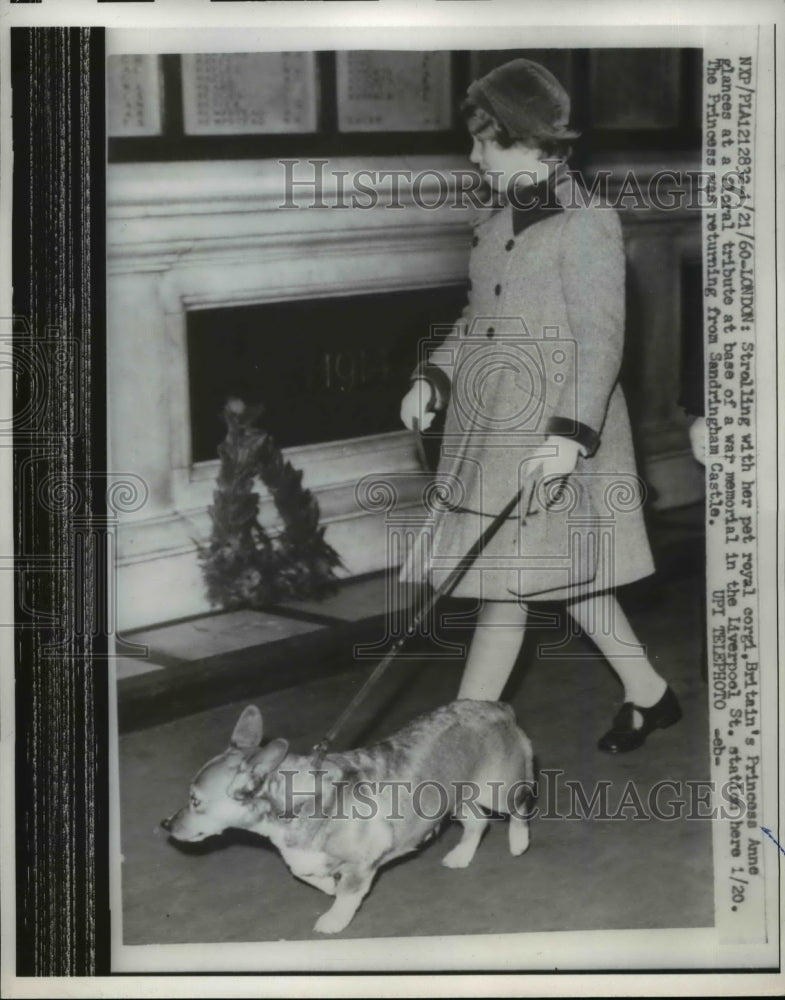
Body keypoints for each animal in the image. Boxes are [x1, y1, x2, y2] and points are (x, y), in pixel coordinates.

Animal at [161, 700, 532, 932]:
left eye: (195, 801)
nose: (166, 825)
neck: (295, 800)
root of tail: (499, 707)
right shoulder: (305, 857)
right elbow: (304, 871)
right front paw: (327, 885)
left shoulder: (362, 863)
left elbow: (347, 895)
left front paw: (332, 919)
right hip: (453, 797)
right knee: (478, 823)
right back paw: (460, 856)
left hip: (496, 791)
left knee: (519, 806)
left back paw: (519, 842)